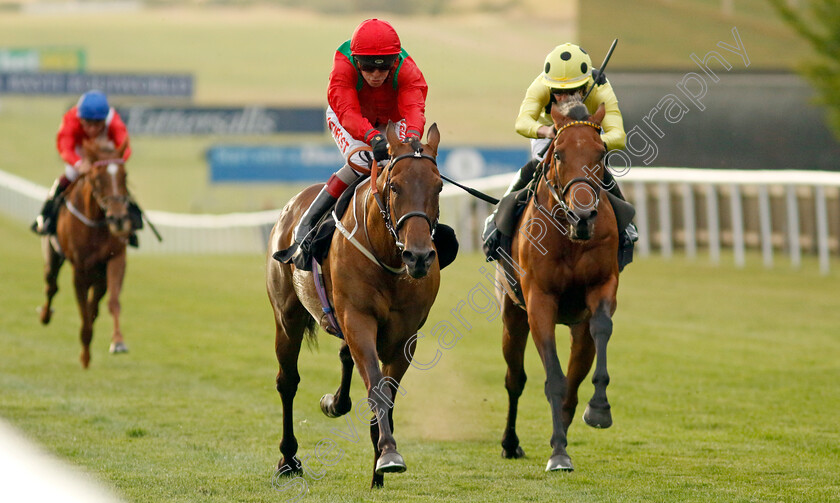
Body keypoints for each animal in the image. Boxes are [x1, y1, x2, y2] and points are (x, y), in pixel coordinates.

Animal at [39, 140, 133, 368]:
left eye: (124, 176)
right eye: (97, 178)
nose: (118, 219)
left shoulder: (114, 259)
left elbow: (111, 302)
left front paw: (118, 342)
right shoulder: (80, 270)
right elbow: (84, 311)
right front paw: (85, 356)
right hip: (52, 253)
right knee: (51, 285)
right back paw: (45, 315)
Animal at [266, 122, 442, 488]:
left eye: (439, 186)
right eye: (394, 186)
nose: (419, 257)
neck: (388, 256)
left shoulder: (406, 337)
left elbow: (387, 394)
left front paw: (379, 467)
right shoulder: (358, 318)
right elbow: (375, 386)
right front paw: (388, 454)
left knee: (344, 357)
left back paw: (335, 403)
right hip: (287, 318)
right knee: (287, 381)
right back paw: (288, 459)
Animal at [496, 101, 620, 472]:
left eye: (601, 153)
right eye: (560, 153)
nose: (584, 216)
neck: (569, 237)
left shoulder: (602, 286)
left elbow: (602, 327)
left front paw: (599, 410)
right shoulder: (539, 301)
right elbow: (552, 377)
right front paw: (559, 455)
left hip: (578, 329)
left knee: (575, 381)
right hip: (512, 317)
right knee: (515, 379)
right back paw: (511, 443)